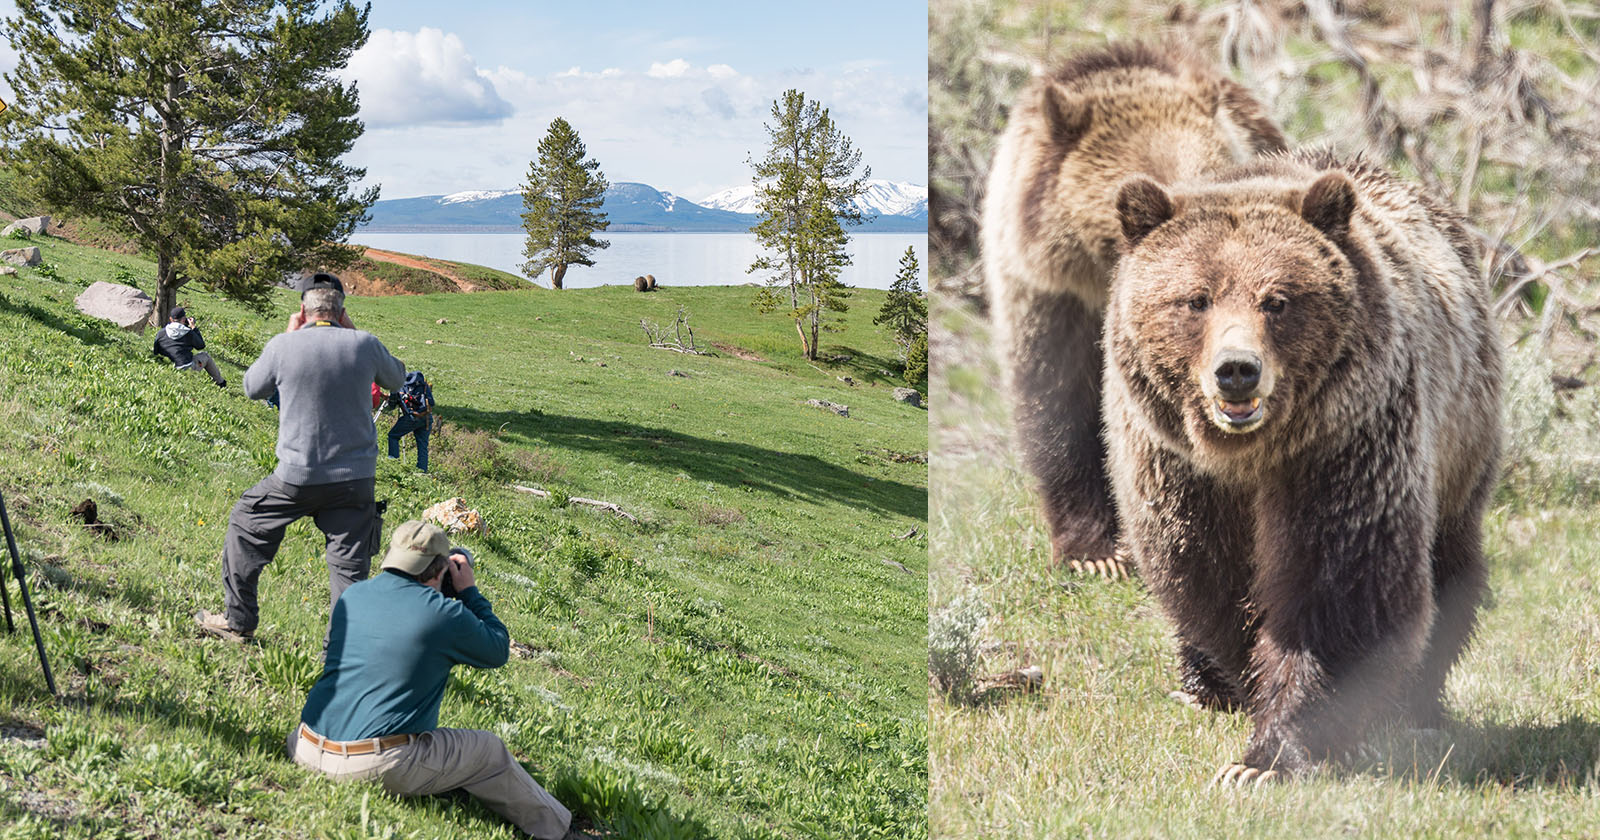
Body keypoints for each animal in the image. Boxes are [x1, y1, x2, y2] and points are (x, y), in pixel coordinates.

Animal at [1100, 148, 1497, 780]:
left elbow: (1337, 580)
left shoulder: (1344, 442)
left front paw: (1269, 757)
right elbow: (1207, 575)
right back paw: (1202, 685)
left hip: (1460, 440)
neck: (1250, 455)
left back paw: (1415, 703)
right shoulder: (1178, 469)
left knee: (1448, 568)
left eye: (1277, 300)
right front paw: (1244, 688)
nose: (1237, 370)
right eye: (1196, 299)